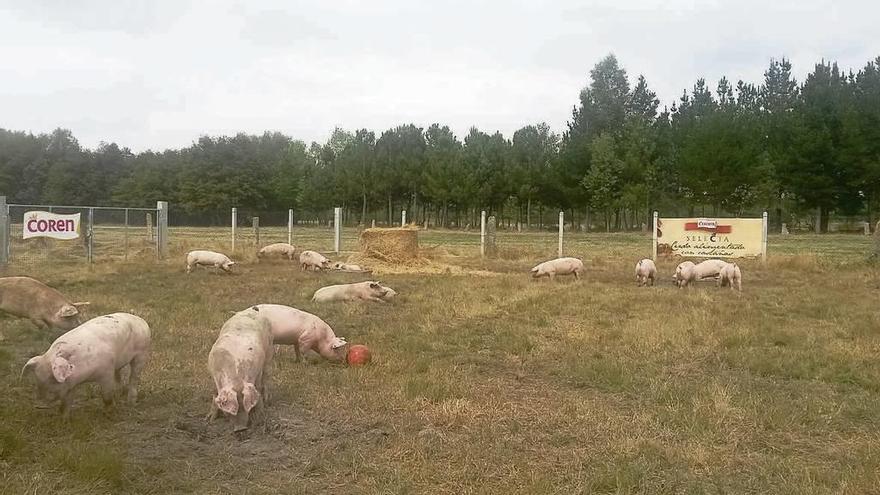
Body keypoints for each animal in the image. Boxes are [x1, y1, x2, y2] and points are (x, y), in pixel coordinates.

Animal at [19, 312, 151, 416]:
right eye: (37, 379)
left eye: (53, 378)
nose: (39, 405)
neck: (83, 378)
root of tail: (141, 320)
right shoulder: (71, 383)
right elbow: (66, 403)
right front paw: (63, 419)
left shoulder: (106, 372)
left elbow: (106, 396)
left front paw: (109, 412)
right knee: (118, 375)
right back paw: (120, 393)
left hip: (142, 353)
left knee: (134, 378)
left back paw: (130, 402)